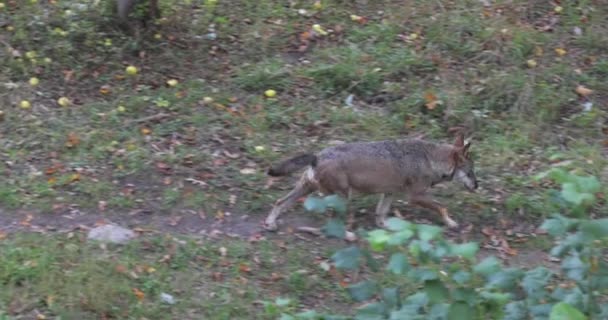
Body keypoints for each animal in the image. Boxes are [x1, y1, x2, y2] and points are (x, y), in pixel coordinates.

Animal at [264, 132, 478, 232]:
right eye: (471, 172)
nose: (477, 186)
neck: (430, 159)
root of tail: (317, 156)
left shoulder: (389, 193)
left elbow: (381, 215)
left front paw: (387, 229)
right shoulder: (416, 196)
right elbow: (442, 207)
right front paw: (451, 223)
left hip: (307, 190)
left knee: (279, 202)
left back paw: (270, 223)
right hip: (341, 197)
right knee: (331, 222)